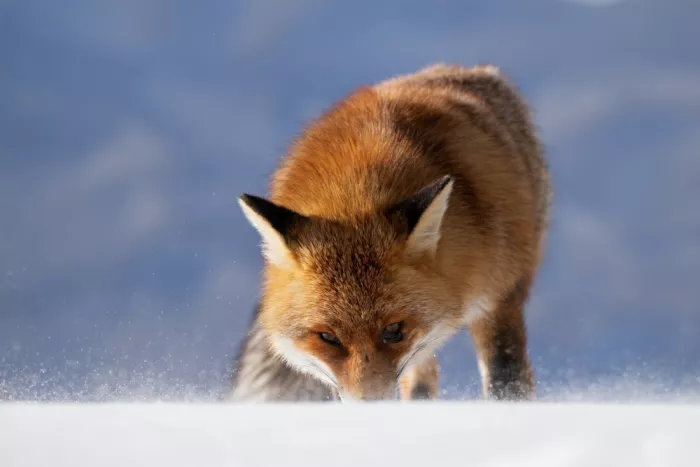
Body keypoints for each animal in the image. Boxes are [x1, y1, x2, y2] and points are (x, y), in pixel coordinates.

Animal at [237, 63, 551, 402]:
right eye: (327, 337)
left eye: (393, 330)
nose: (370, 406)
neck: (356, 192)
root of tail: (467, 68)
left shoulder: (499, 298)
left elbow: (506, 382)